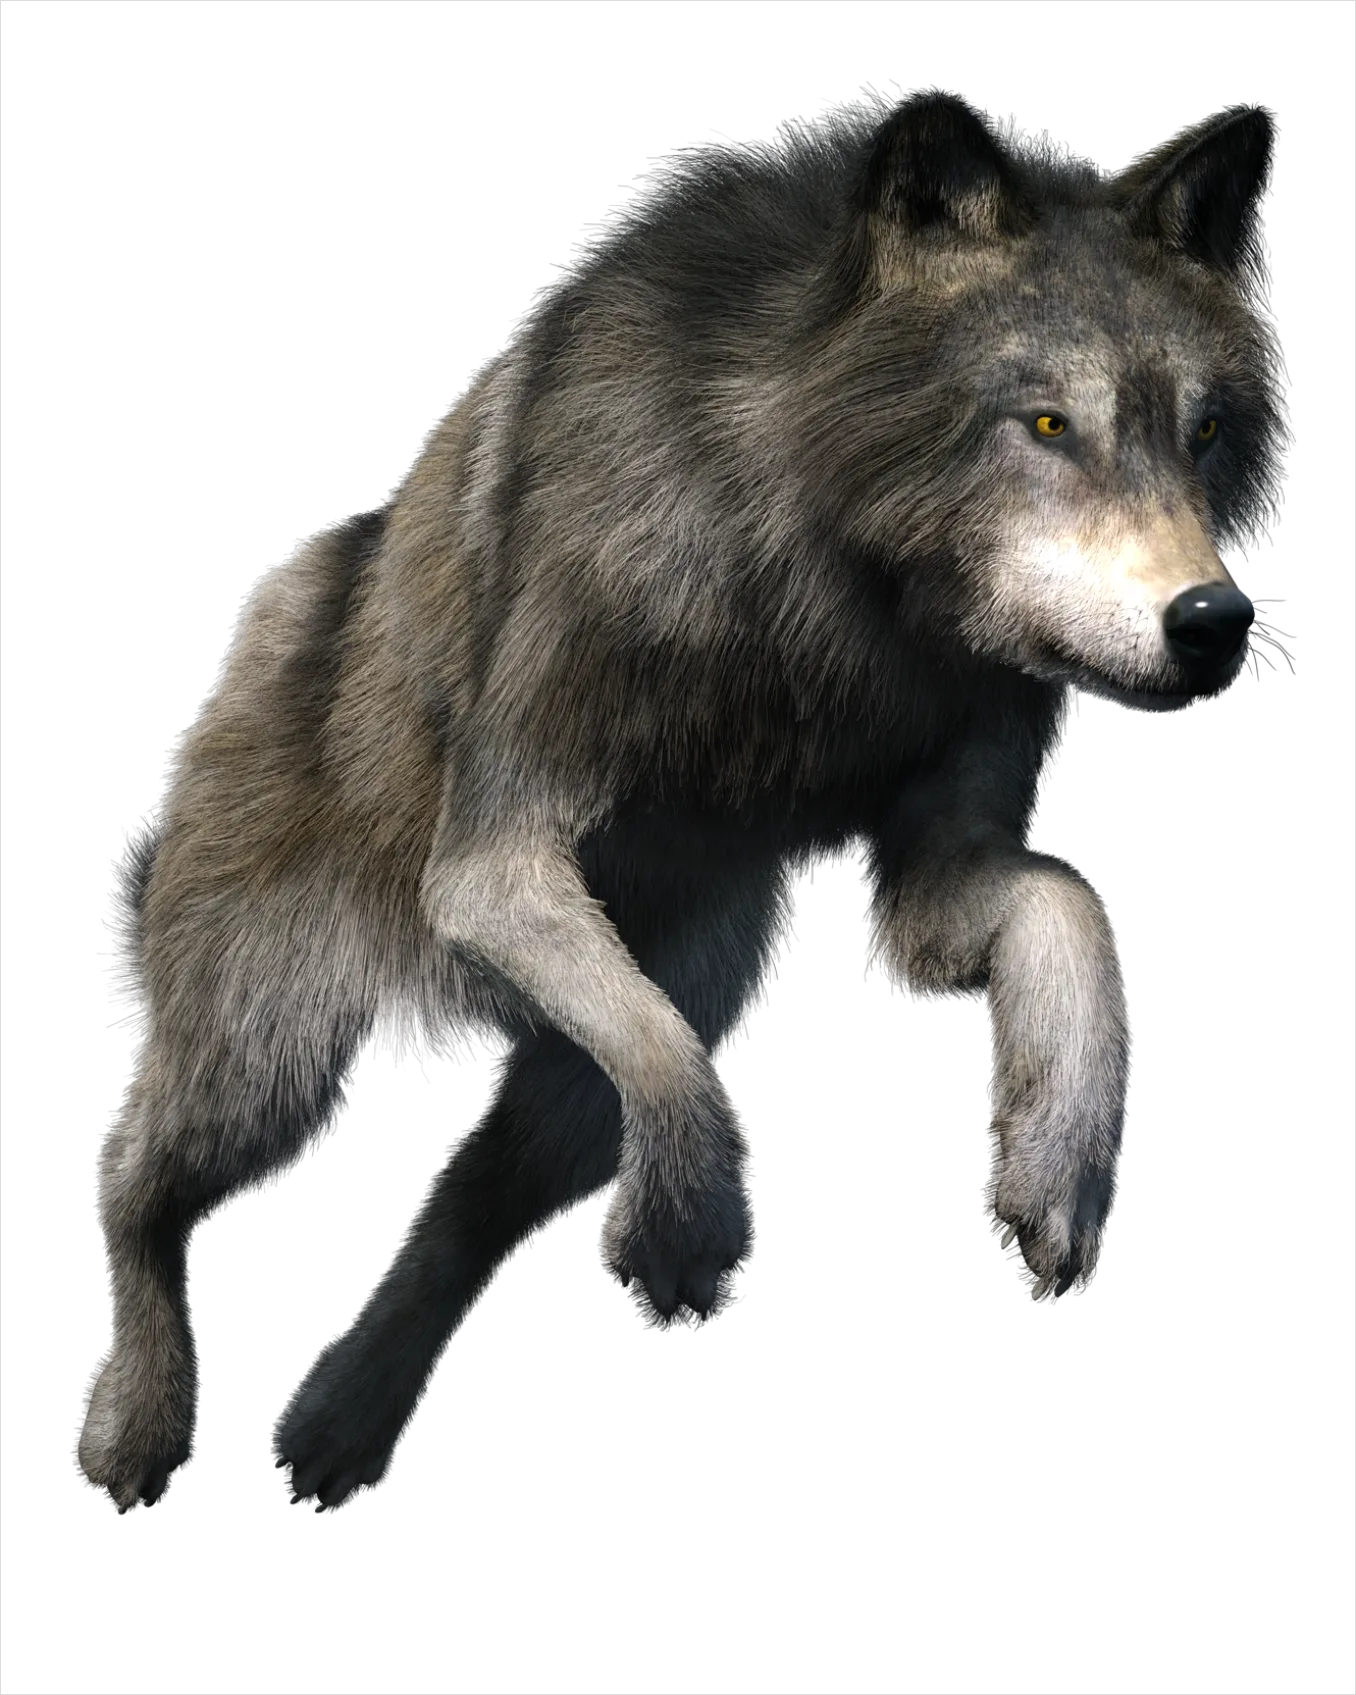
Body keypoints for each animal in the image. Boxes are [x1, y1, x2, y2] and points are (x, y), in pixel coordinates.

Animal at [75, 93, 1288, 1513]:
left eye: (1202, 432)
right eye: (1046, 425)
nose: (1212, 620)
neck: (820, 592)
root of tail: (270, 604)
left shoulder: (932, 888)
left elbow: (1074, 906)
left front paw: (1058, 1165)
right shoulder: (494, 857)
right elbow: (673, 1074)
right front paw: (686, 1236)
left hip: (599, 1066)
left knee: (460, 1218)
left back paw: (341, 1426)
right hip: (261, 1085)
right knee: (132, 1187)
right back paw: (136, 1432)